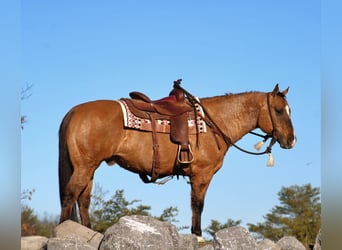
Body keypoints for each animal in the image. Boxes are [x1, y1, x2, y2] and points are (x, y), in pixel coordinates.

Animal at [57, 83, 296, 236]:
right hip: (84, 167)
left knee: (83, 200)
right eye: (278, 111)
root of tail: (74, 111)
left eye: (289, 110)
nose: (291, 140)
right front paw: (198, 237)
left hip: (89, 168)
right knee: (70, 197)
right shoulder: (202, 175)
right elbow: (198, 206)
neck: (212, 123)